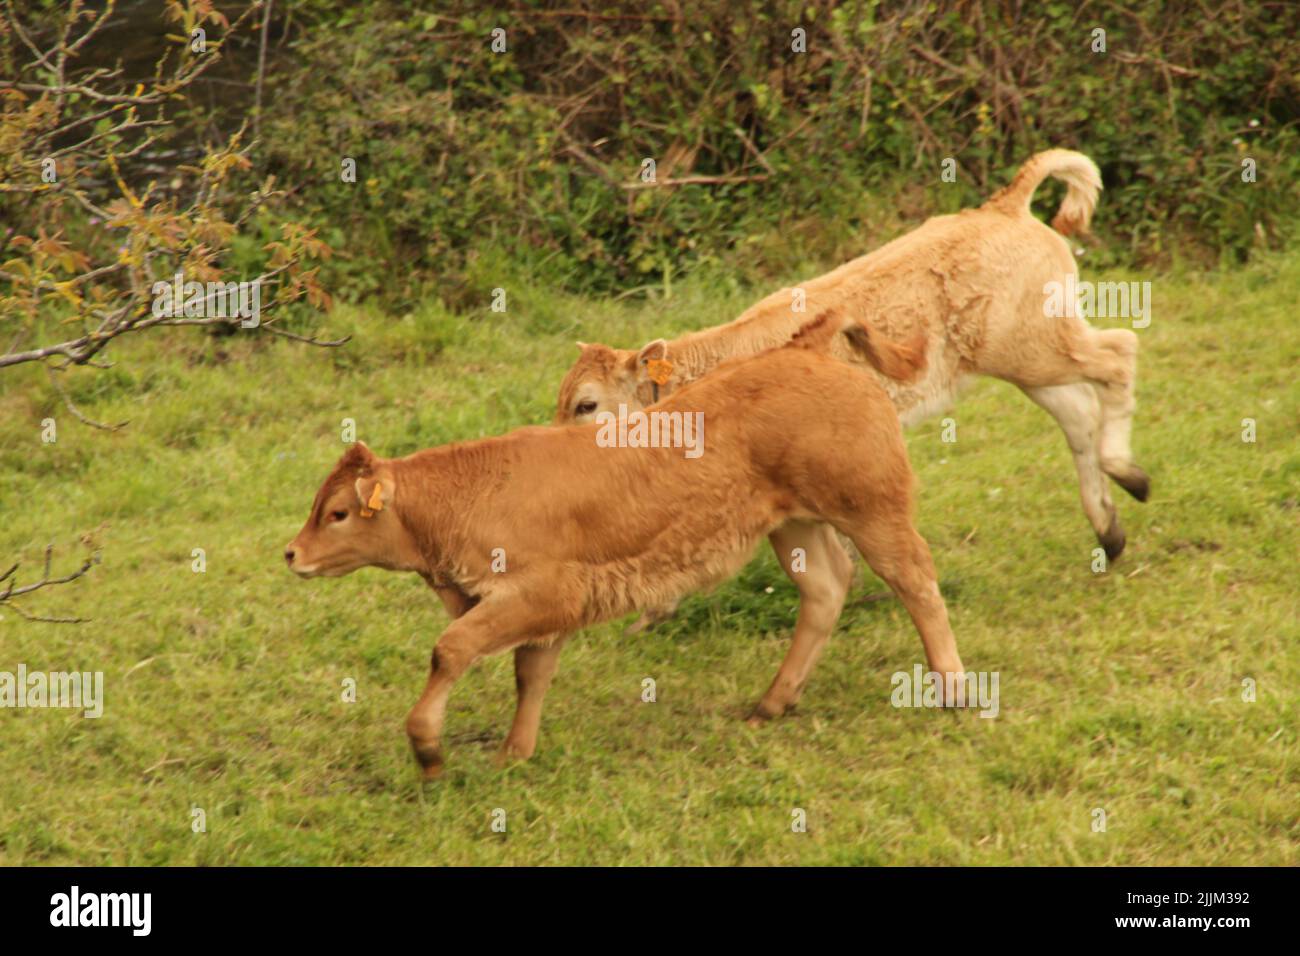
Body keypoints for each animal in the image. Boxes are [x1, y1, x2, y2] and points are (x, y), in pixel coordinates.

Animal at [286, 315, 963, 778]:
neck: (471, 491)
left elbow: (451, 650)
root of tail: (809, 350)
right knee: (825, 588)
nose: (292, 554)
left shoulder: (536, 592)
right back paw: (772, 703)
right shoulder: (549, 608)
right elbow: (529, 673)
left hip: (871, 508)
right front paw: (514, 754)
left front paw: (428, 750)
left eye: (338, 512)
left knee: (914, 578)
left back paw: (951, 689)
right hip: (793, 524)